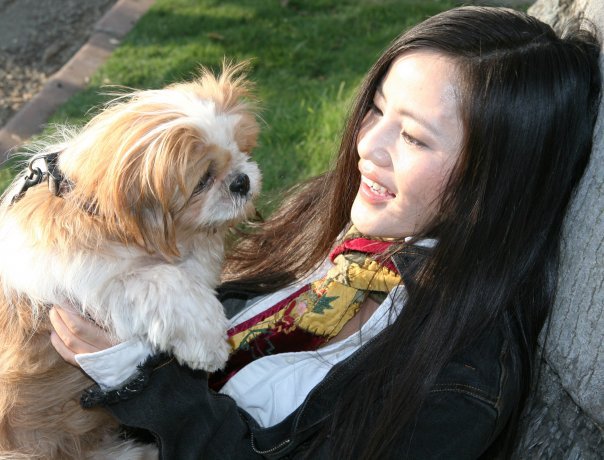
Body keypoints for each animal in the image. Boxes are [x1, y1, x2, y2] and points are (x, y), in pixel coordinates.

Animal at [0, 62, 260, 460]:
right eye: (203, 179)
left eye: (241, 151)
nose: (242, 181)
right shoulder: (87, 283)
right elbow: (165, 282)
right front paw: (209, 345)